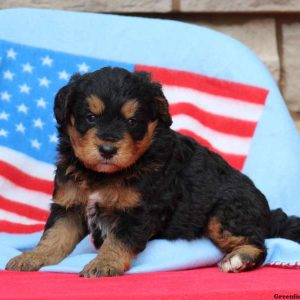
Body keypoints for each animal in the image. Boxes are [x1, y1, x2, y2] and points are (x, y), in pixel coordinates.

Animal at [5, 67, 300, 276]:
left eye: (132, 121)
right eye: (90, 117)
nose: (108, 149)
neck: (103, 175)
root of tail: (266, 211)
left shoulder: (141, 210)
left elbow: (118, 239)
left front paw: (104, 263)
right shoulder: (69, 206)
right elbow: (54, 237)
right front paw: (30, 257)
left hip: (225, 213)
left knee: (260, 243)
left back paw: (238, 259)